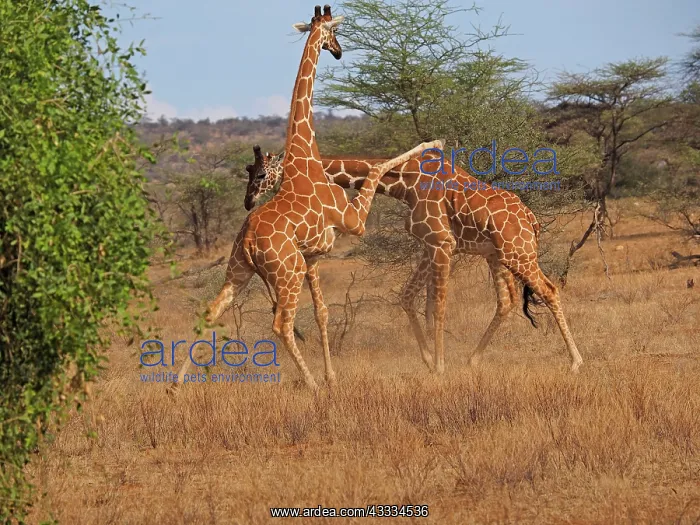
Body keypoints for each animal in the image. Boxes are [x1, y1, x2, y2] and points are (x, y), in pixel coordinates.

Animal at [168, 4, 443, 394]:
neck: (304, 154)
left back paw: (175, 385)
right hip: (288, 270)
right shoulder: (352, 223)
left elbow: (322, 312)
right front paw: (433, 142)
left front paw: (332, 376)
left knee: (211, 310)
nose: (339, 51)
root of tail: (248, 241)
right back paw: (310, 385)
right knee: (280, 324)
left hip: (239, 270)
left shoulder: (313, 256)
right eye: (333, 31)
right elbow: (377, 169)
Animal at [244, 149, 584, 374]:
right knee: (507, 300)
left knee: (549, 290)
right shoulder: (428, 244)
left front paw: (440, 366)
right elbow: (411, 298)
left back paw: (576, 361)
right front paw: (429, 360)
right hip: (497, 256)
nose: (248, 201)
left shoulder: (442, 243)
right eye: (248, 172)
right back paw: (473, 359)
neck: (403, 183)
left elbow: (438, 306)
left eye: (260, 174)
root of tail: (531, 220)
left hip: (518, 252)